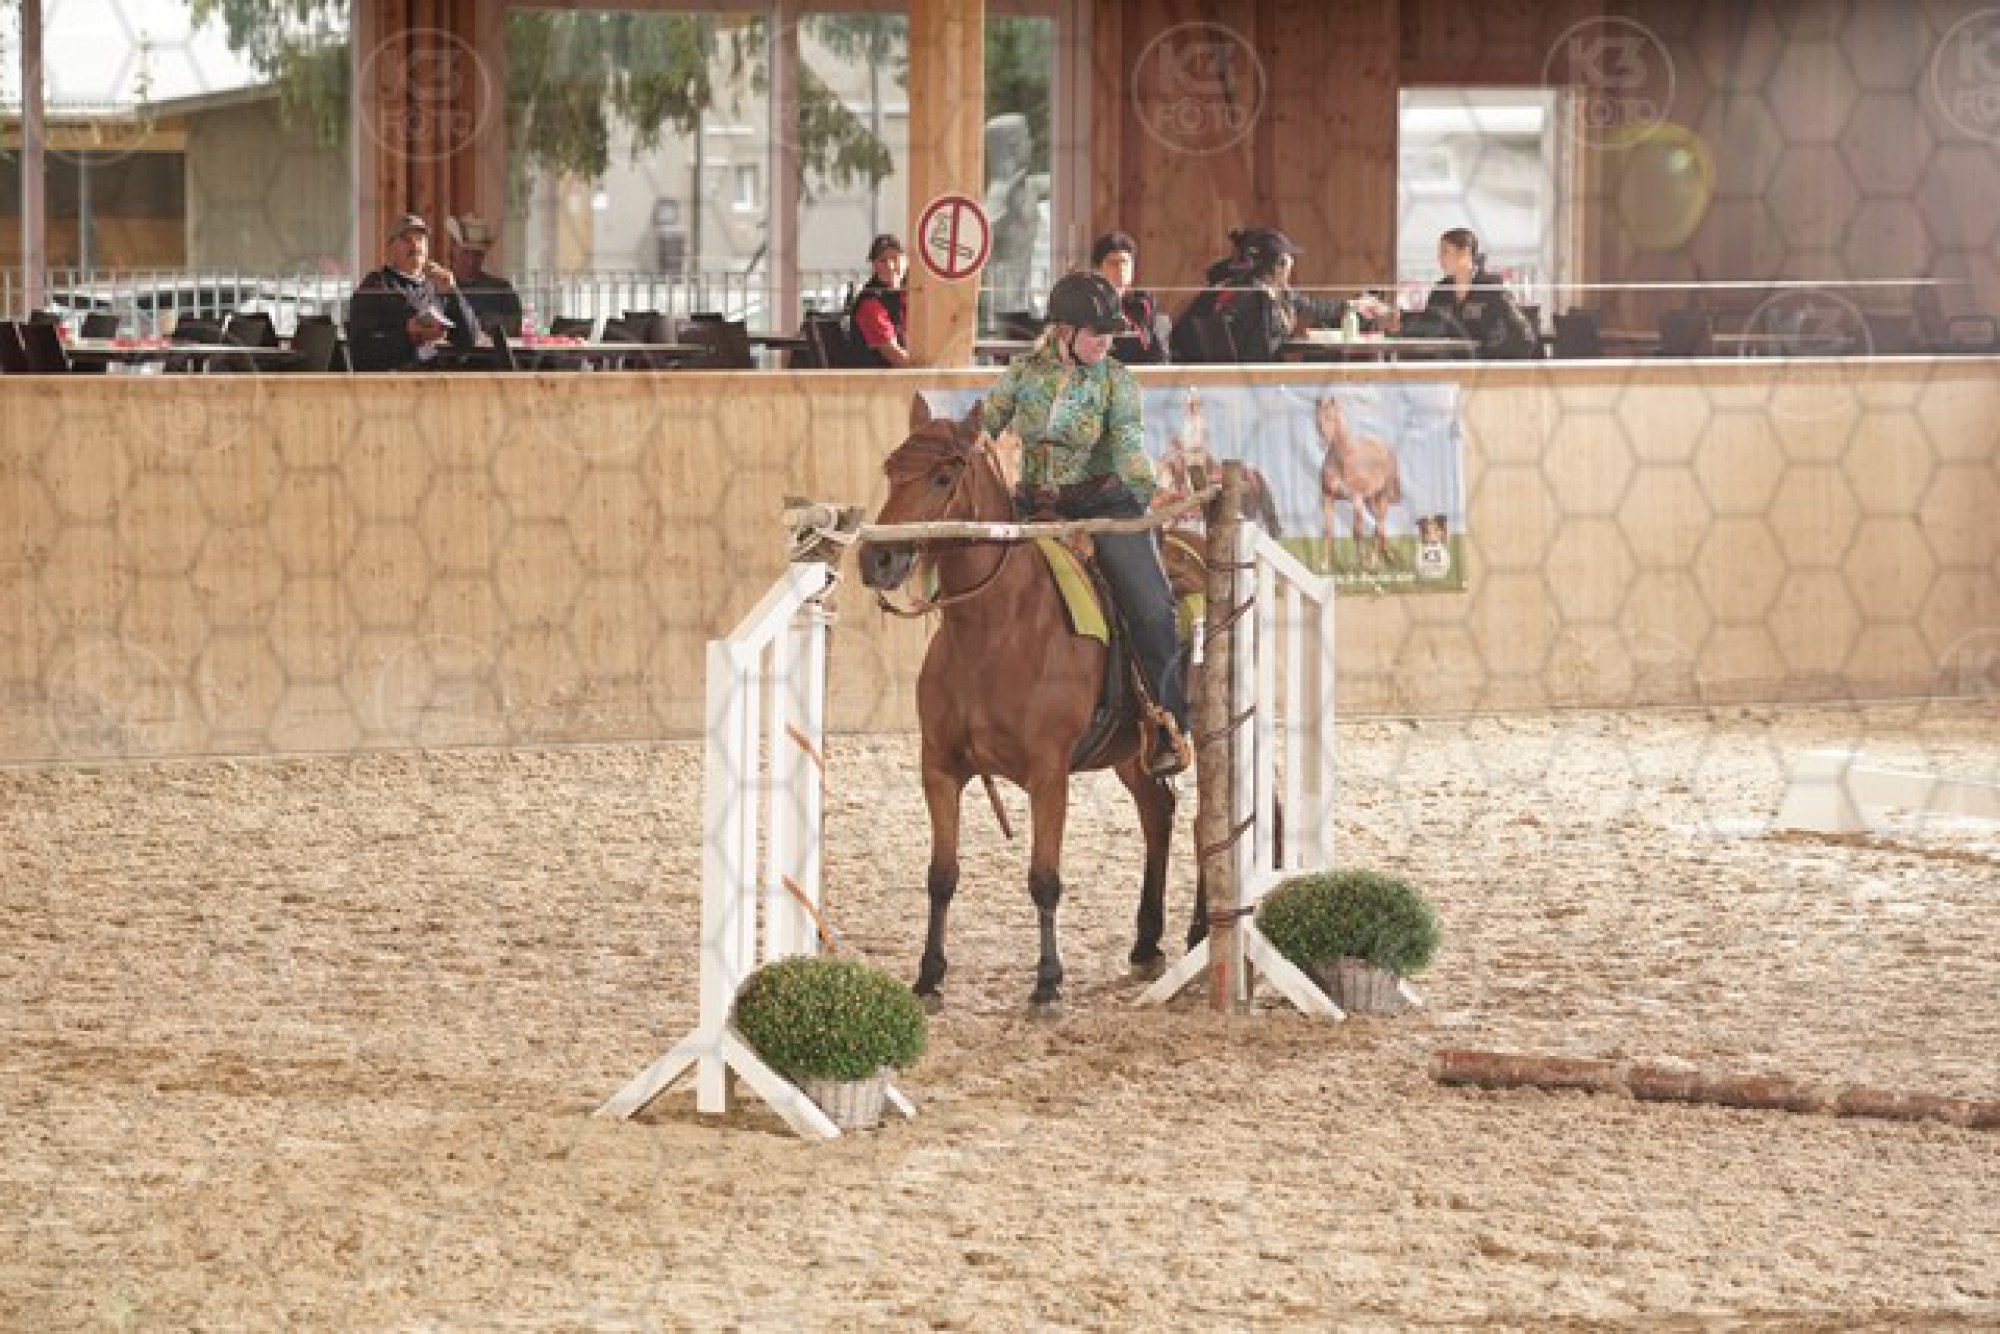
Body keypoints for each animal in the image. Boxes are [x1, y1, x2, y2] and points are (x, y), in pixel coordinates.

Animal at [856, 397, 1194, 1014]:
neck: (995, 630)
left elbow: (1044, 878)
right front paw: (929, 977)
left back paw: (1203, 931)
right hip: (1133, 755)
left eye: (944, 476)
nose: (879, 558)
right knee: (1159, 812)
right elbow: (941, 875)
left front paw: (1048, 983)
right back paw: (1146, 943)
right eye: (892, 469)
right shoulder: (939, 766)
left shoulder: (1047, 772)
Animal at [1316, 395, 1403, 572]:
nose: (1323, 441)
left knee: (1379, 525)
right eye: (1317, 419)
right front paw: (1324, 565)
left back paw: (1374, 562)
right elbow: (1327, 530)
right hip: (1370, 500)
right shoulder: (1327, 497)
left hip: (1381, 496)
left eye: (1331, 417)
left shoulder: (1356, 499)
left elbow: (1357, 532)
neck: (1342, 460)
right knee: (1379, 524)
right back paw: (1387, 557)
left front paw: (1360, 565)